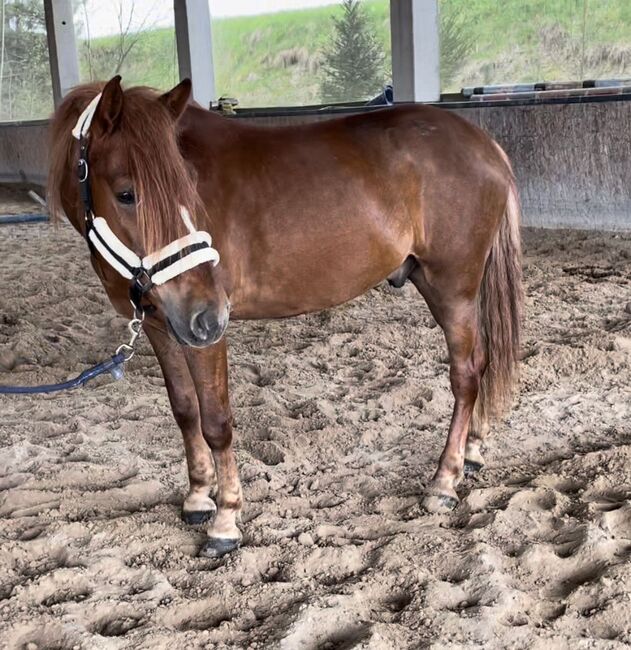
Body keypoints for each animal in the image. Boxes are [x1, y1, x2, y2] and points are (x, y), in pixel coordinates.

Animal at [47, 74, 524, 552]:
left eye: (188, 189)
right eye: (126, 194)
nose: (210, 314)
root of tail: (485, 145)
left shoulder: (202, 335)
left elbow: (216, 421)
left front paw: (226, 518)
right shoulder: (163, 326)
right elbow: (184, 410)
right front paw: (198, 496)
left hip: (452, 289)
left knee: (466, 375)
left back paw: (444, 481)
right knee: (481, 362)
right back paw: (472, 451)